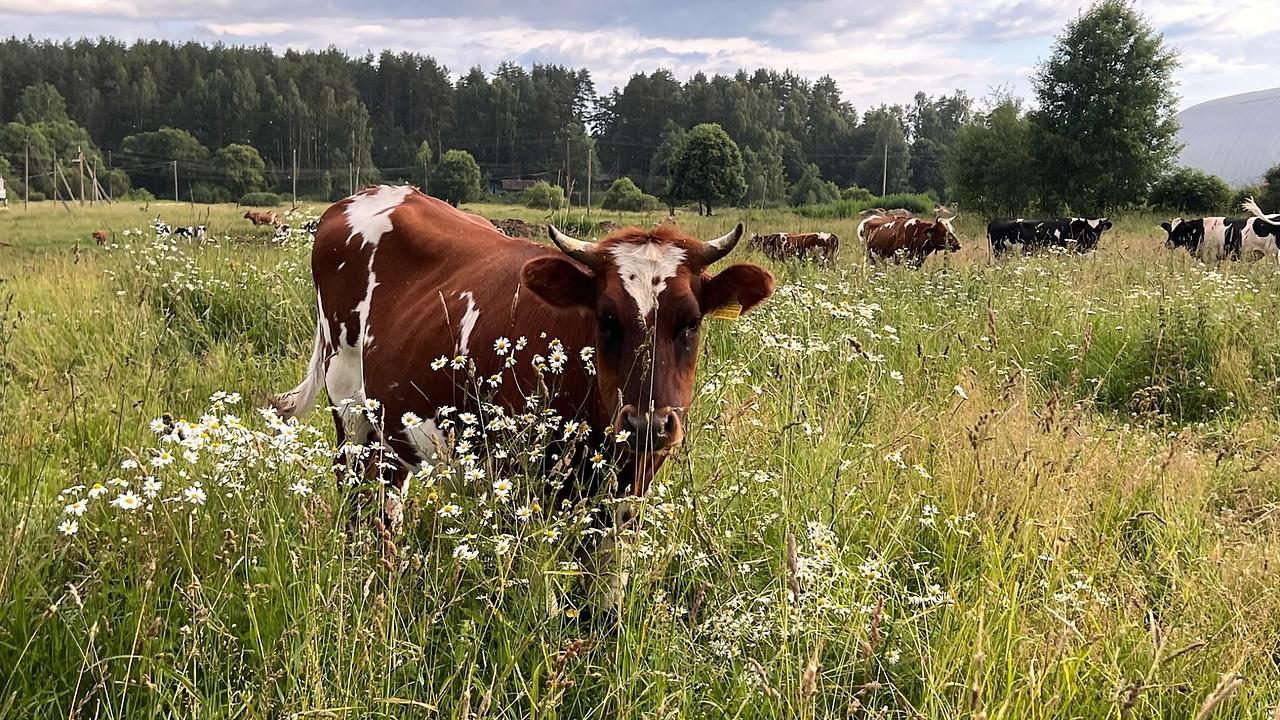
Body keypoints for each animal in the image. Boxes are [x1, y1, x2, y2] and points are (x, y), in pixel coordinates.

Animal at [272, 185, 774, 541]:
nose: (646, 424)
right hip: (350, 411)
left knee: (388, 499)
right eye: (606, 319)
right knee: (354, 493)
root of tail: (362, 196)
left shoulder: (630, 488)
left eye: (690, 321)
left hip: (390, 423)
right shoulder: (518, 482)